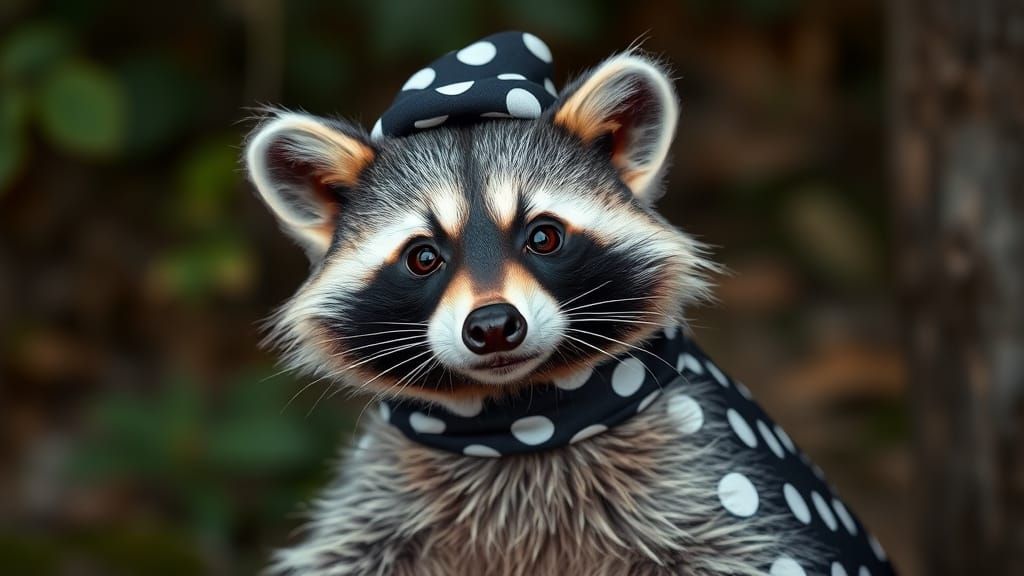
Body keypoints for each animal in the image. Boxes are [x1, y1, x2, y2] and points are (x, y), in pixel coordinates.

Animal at [245, 31, 896, 576]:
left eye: (544, 236)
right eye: (423, 256)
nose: (493, 326)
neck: (522, 421)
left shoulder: (707, 490)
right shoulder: (379, 507)